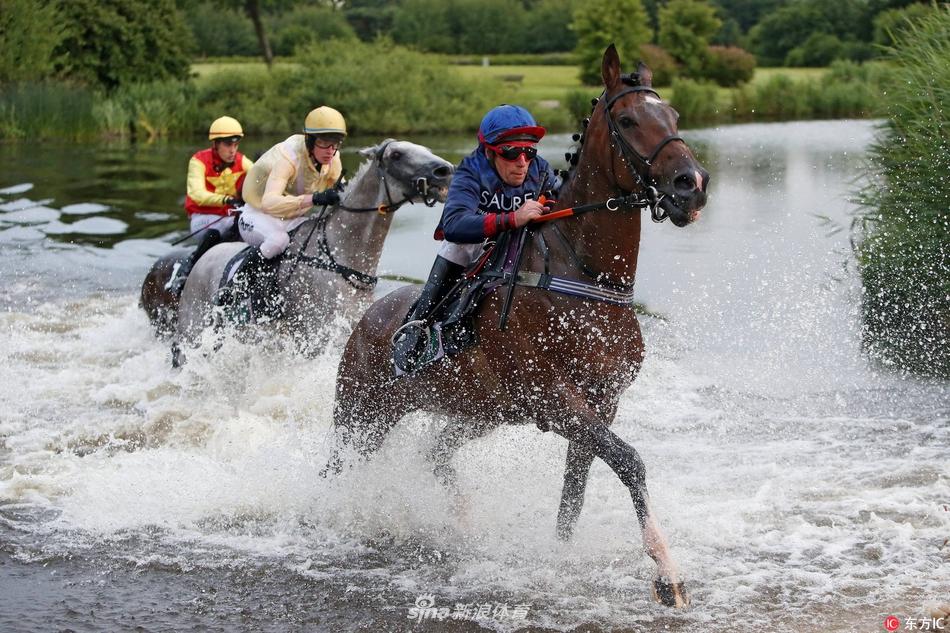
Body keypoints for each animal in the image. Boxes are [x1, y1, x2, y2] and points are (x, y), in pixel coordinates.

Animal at [176, 139, 458, 360]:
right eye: (396, 155)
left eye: (425, 149)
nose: (446, 170)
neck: (341, 258)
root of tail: (203, 259)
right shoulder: (315, 341)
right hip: (192, 331)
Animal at [330, 45, 712, 608]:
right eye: (627, 120)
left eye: (675, 116)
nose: (692, 185)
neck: (585, 276)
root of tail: (367, 318)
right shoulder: (553, 399)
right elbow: (630, 462)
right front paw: (668, 572)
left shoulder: (601, 401)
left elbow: (575, 490)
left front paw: (560, 556)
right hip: (360, 414)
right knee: (337, 469)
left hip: (471, 415)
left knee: (434, 455)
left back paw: (461, 526)